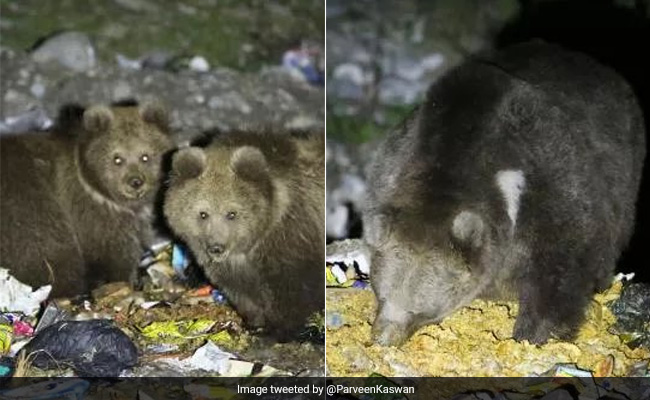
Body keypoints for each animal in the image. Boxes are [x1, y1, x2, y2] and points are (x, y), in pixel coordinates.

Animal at [163, 130, 324, 340]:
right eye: (203, 213)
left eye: (232, 213)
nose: (216, 248)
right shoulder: (230, 269)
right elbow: (244, 294)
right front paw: (254, 323)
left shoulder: (293, 240)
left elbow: (295, 292)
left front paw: (279, 330)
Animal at [364, 41, 646, 346]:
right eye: (382, 295)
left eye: (419, 311)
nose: (382, 338)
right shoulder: (392, 166)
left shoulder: (550, 190)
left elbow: (559, 272)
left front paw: (533, 335)